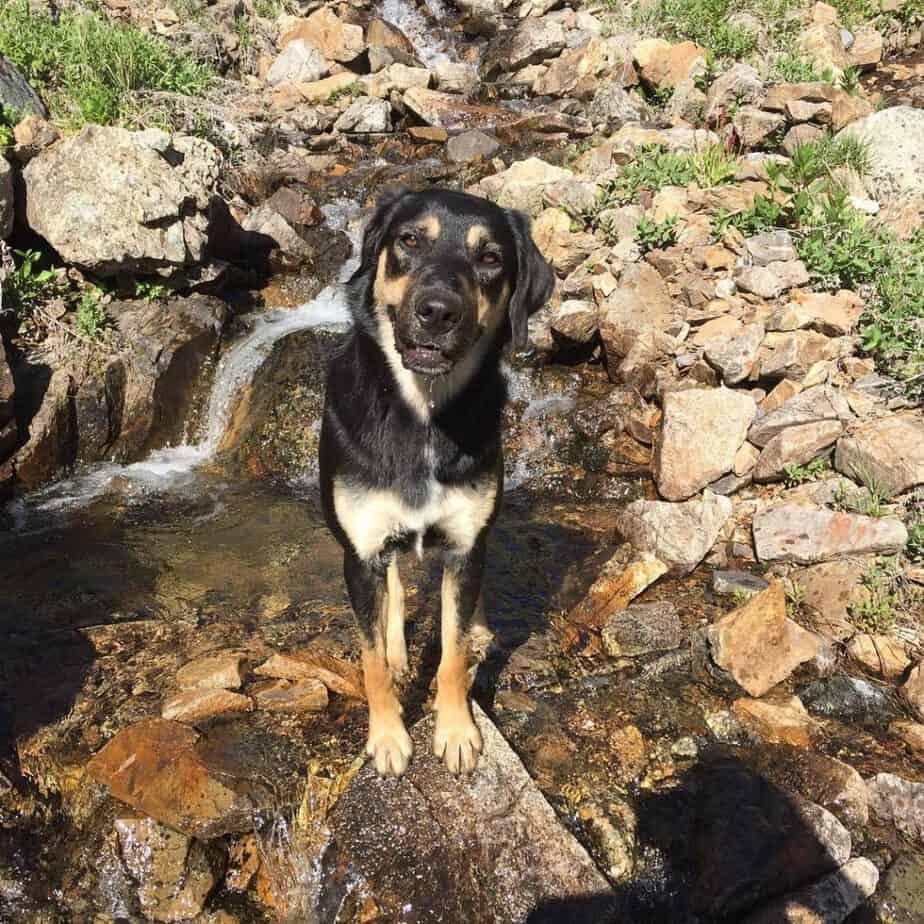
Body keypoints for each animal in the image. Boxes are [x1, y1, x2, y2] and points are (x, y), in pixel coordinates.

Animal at [318, 184, 552, 776]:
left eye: (490, 257)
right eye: (408, 240)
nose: (438, 312)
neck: (422, 415)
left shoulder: (467, 544)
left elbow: (453, 648)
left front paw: (456, 731)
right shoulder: (359, 550)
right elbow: (371, 657)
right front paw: (387, 736)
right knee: (395, 583)